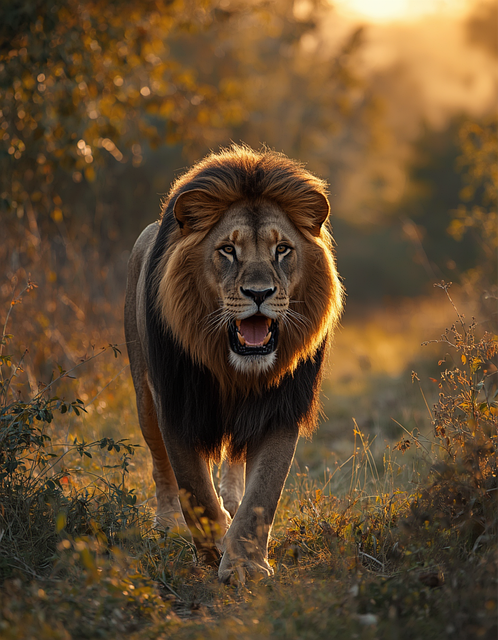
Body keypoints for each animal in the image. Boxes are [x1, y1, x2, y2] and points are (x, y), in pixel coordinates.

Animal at [124, 144, 343, 582]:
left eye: (282, 249)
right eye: (228, 249)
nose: (259, 293)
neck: (236, 371)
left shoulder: (281, 408)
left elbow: (264, 492)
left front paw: (244, 563)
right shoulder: (176, 404)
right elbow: (194, 488)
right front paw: (212, 550)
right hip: (144, 397)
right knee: (161, 467)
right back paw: (168, 522)